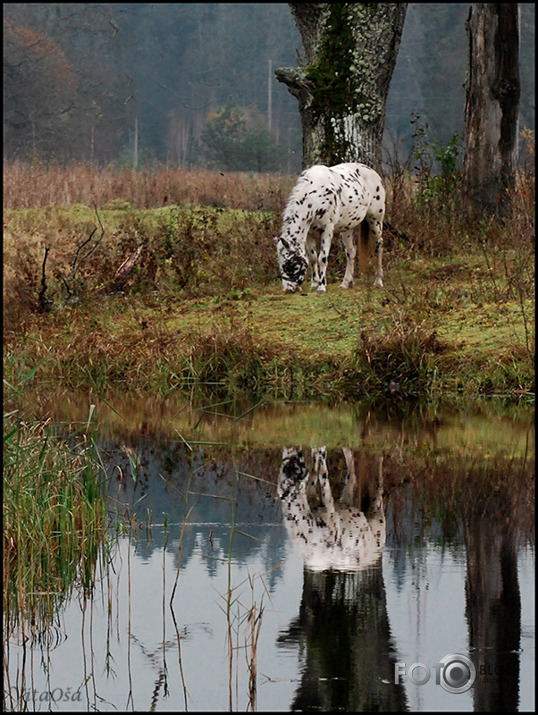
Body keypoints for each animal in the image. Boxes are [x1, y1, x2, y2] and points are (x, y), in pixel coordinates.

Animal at [274, 164, 384, 292]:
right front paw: (314, 284)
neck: (315, 197)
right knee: (351, 251)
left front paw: (321, 287)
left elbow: (322, 258)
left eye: (290, 264)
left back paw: (378, 281)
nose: (288, 289)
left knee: (378, 246)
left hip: (375, 220)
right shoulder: (309, 233)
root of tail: (373, 172)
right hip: (347, 227)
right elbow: (313, 258)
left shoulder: (327, 230)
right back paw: (346, 283)